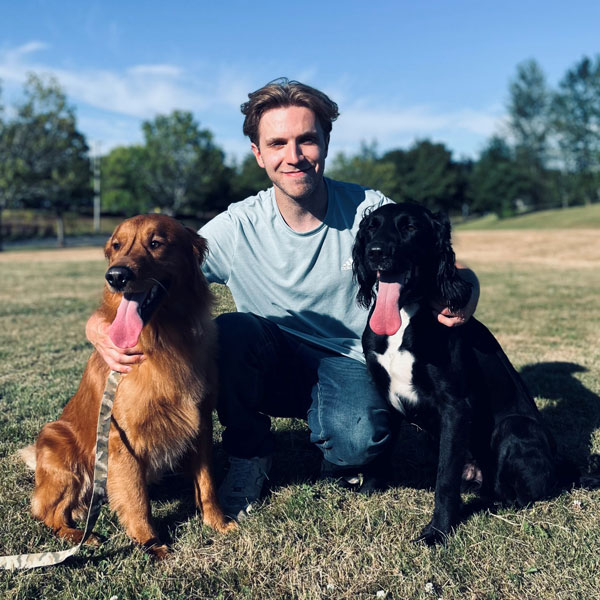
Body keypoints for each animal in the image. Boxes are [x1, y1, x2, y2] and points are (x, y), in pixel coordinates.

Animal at [352, 202, 576, 544]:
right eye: (371, 227)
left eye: (410, 227)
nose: (375, 252)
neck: (404, 317)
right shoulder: (385, 395)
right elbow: (381, 452)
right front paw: (370, 490)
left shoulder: (454, 407)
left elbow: (445, 479)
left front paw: (437, 532)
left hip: (515, 427)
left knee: (518, 495)